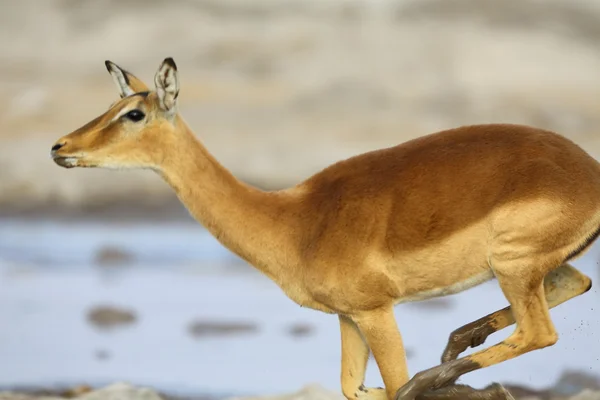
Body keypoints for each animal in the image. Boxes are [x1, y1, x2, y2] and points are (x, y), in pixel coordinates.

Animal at [51, 58, 596, 400]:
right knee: (575, 283)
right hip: (526, 267)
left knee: (539, 332)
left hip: (511, 265)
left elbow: (392, 386)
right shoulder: (348, 318)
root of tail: (588, 171)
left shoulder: (376, 311)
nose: (60, 147)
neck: (294, 221)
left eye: (133, 113)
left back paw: (443, 374)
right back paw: (461, 345)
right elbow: (353, 388)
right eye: (110, 107)